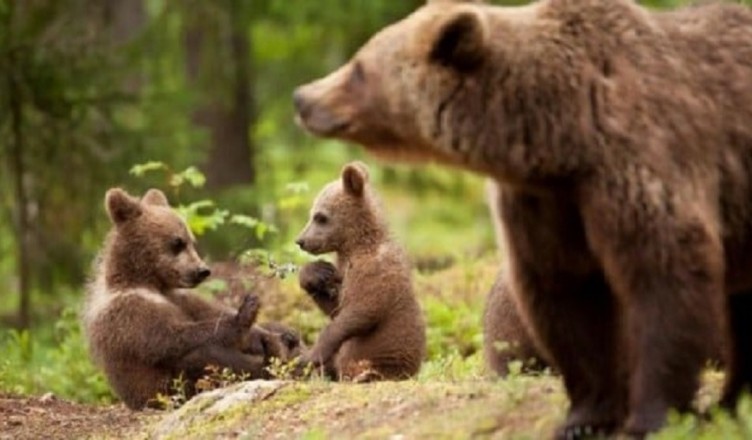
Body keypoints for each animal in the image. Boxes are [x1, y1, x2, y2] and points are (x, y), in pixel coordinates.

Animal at [82, 188, 296, 410]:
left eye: (191, 241)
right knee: (199, 358)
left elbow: (214, 313)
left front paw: (274, 336)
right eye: (177, 243)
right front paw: (245, 315)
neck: (147, 281)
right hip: (166, 390)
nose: (202, 270)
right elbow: (172, 338)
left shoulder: (182, 298)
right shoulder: (129, 312)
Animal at [294, 161, 426, 381]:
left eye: (321, 217)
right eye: (311, 214)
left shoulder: (375, 270)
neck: (356, 246)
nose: (301, 241)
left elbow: (360, 310)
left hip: (386, 359)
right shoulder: (343, 275)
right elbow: (336, 307)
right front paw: (317, 272)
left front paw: (311, 355)